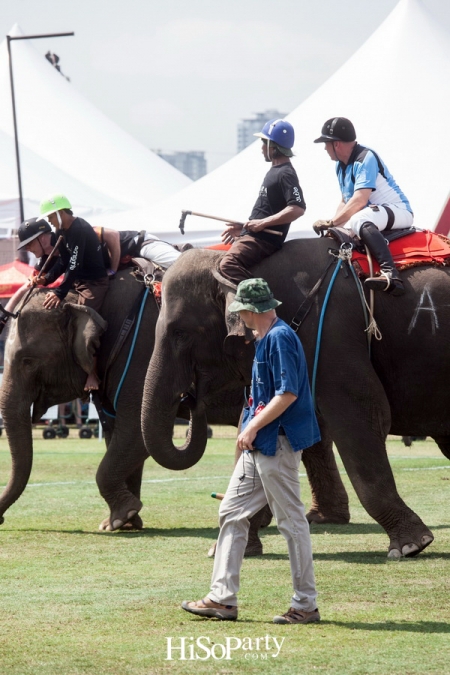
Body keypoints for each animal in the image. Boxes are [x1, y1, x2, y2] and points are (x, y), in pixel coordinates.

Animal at [0, 266, 246, 532]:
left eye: (27, 360)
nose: (2, 520)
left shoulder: (139, 354)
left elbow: (135, 433)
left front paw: (120, 518)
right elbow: (117, 434)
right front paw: (124, 521)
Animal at [141, 243, 450, 560]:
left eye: (180, 333)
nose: (190, 396)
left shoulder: (331, 338)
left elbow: (364, 417)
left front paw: (411, 545)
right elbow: (254, 425)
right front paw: (226, 549)